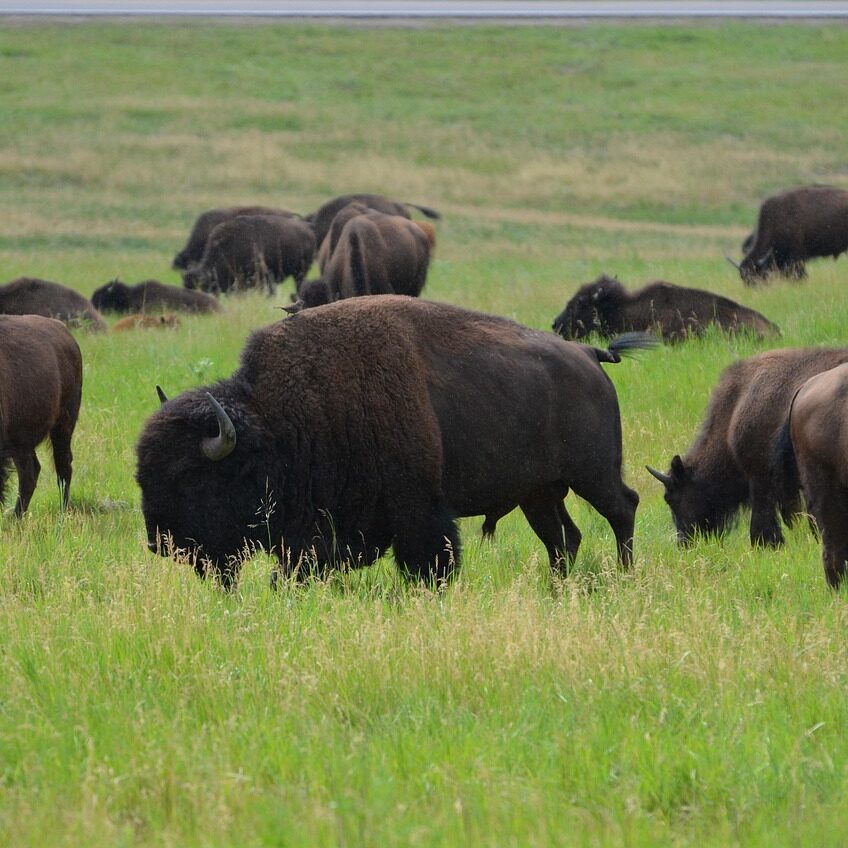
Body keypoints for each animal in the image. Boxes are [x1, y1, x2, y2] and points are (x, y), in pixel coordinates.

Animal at [136, 296, 644, 588]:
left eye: (191, 477)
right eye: (143, 474)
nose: (161, 543)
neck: (278, 424)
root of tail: (587, 354)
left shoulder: (419, 508)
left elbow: (430, 560)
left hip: (592, 474)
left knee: (622, 508)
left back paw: (625, 575)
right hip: (537, 493)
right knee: (564, 538)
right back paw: (557, 588)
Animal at [648, 347, 848, 548]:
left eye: (670, 498)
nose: (683, 542)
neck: (736, 408)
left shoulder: (761, 477)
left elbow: (762, 516)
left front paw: (765, 544)